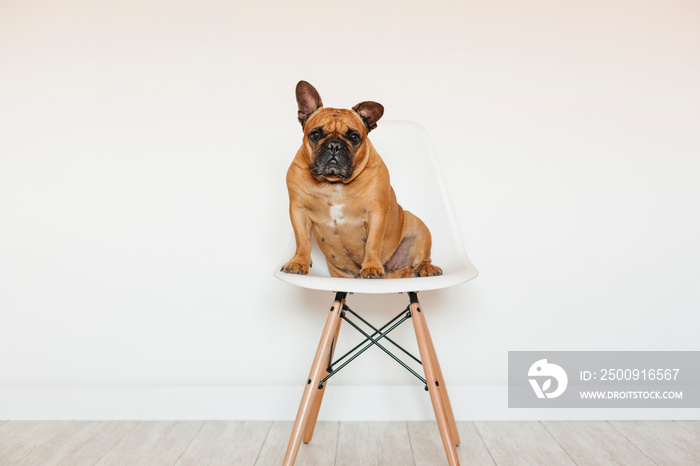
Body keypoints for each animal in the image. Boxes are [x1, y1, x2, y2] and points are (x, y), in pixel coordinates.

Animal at [280, 80, 440, 278]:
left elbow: (372, 243)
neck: (333, 183)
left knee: (422, 257)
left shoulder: (376, 213)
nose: (334, 145)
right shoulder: (298, 210)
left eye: (354, 137)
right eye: (315, 135)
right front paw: (298, 262)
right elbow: (302, 239)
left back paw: (426, 268)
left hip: (418, 227)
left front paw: (371, 267)